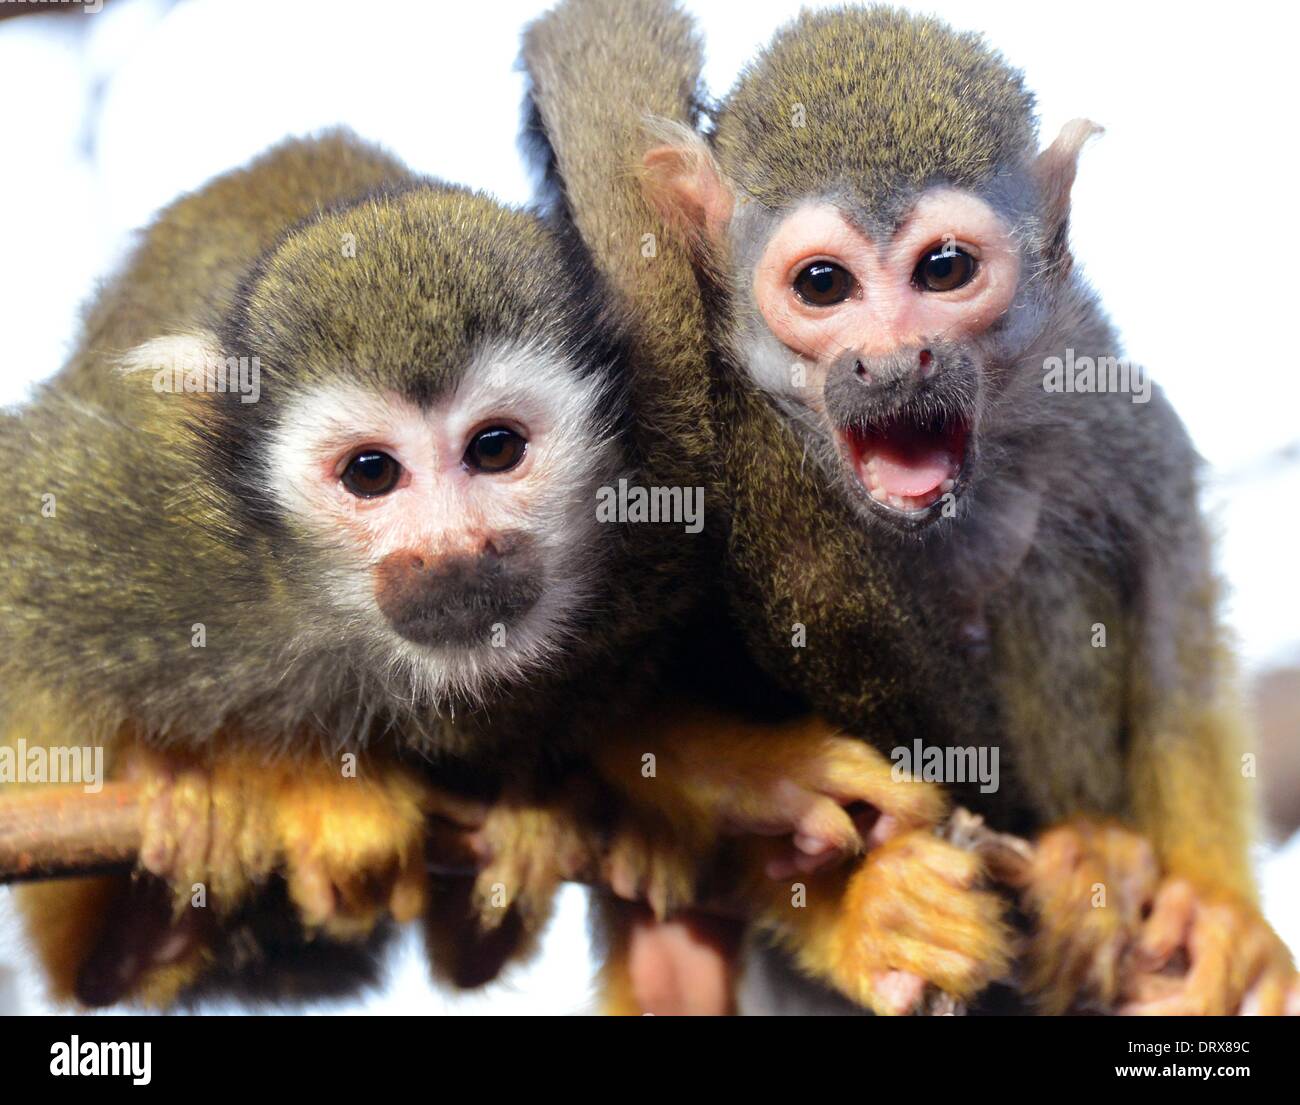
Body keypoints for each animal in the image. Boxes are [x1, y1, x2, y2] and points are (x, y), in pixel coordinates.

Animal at [523, 1, 1297, 1014]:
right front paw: (763, 790)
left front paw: (1217, 905)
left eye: (944, 269)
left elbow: (1171, 568)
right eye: (823, 285)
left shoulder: (1082, 361)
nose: (894, 361)